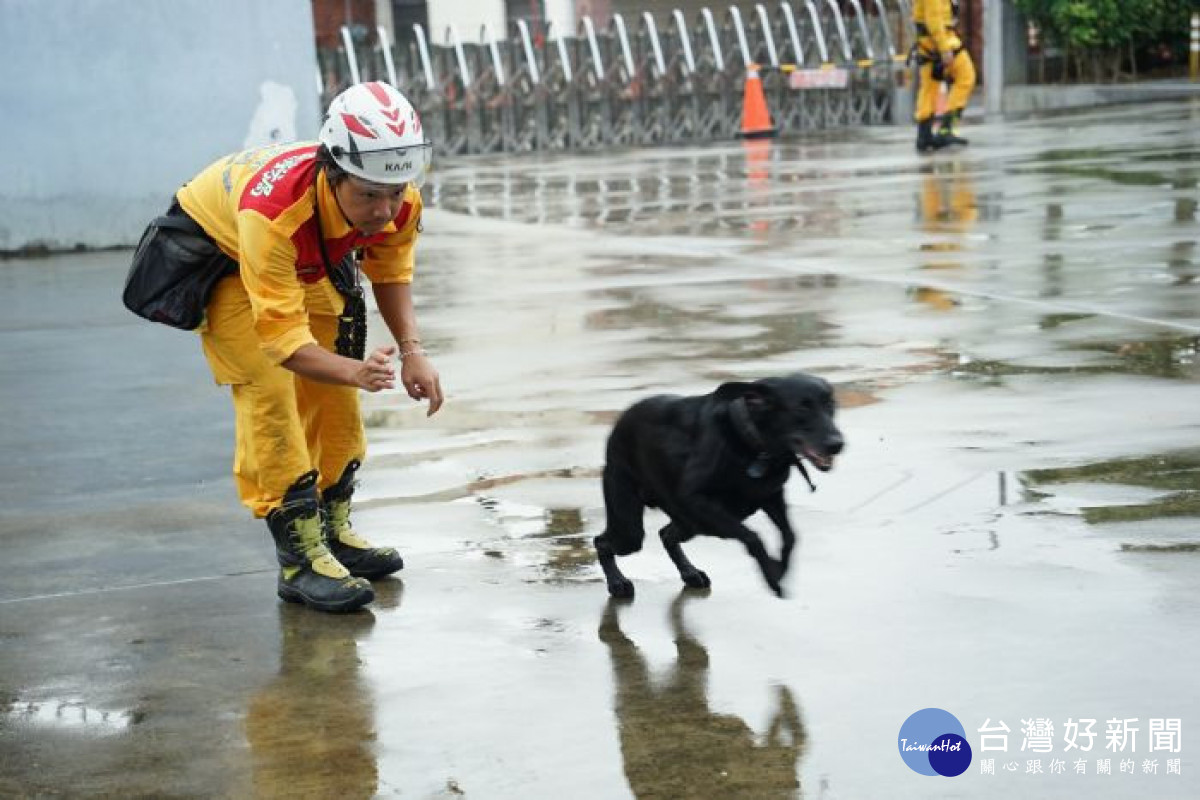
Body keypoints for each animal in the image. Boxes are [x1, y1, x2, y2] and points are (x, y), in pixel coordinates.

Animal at [592, 379, 844, 597]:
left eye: (830, 404)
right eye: (802, 408)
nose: (838, 444)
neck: (751, 442)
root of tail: (617, 426)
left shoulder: (771, 496)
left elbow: (790, 536)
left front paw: (781, 567)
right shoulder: (700, 503)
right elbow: (753, 537)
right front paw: (772, 576)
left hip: (688, 523)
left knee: (666, 534)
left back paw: (690, 573)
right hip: (632, 530)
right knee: (602, 542)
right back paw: (617, 583)